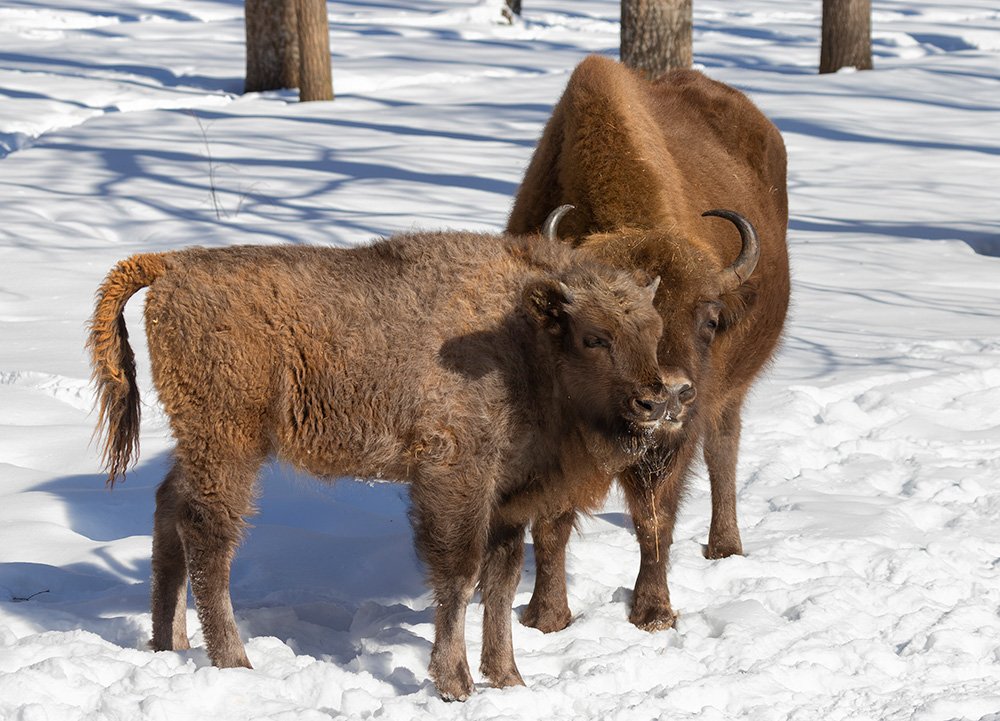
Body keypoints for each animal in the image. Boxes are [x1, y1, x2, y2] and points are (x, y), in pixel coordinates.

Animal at [86, 217, 664, 700]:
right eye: (594, 337)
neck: (520, 332)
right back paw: (235, 662)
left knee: (169, 509)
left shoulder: (507, 497)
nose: (655, 401)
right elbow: (460, 576)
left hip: (200, 444)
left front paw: (509, 679)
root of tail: (170, 265)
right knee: (209, 536)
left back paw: (171, 644)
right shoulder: (457, 477)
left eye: (654, 330)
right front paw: (456, 684)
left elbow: (499, 586)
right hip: (228, 444)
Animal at [508, 54, 788, 632]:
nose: (671, 394)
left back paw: (725, 547)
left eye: (710, 319)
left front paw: (653, 613)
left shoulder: (670, 439)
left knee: (723, 449)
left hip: (727, 393)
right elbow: (551, 521)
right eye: (596, 332)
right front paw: (546, 618)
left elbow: (655, 516)